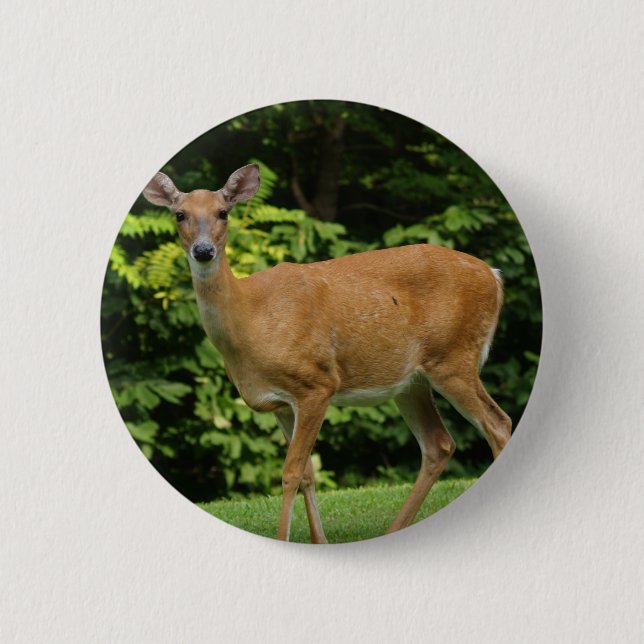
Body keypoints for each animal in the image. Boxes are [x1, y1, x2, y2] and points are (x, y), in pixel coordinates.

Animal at [142, 163, 512, 543]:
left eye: (223, 212)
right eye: (180, 214)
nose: (203, 250)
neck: (250, 321)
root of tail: (494, 275)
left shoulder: (316, 383)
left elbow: (291, 473)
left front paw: (285, 539)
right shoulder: (279, 402)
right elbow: (307, 473)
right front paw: (319, 541)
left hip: (454, 357)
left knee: (498, 424)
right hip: (411, 381)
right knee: (439, 444)